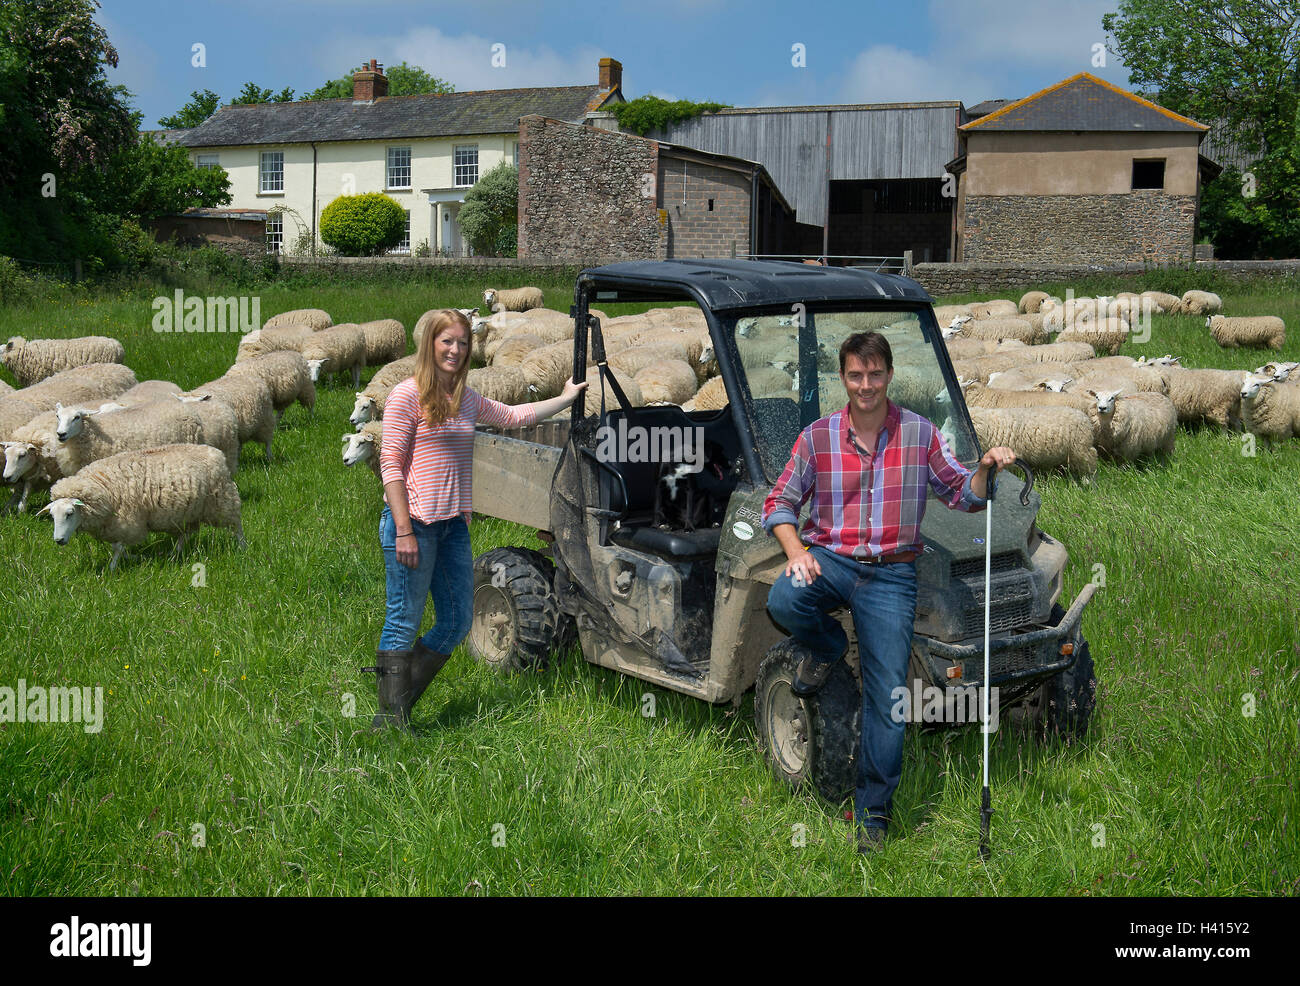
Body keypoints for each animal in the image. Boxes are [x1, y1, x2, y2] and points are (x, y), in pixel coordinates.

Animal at [40, 444, 244, 574]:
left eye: (70, 513)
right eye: (52, 516)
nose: (58, 540)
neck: (103, 487)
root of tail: (215, 452)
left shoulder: (128, 521)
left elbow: (117, 547)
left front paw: (112, 568)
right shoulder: (116, 525)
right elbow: (119, 547)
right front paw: (134, 558)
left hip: (222, 500)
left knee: (236, 526)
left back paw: (243, 547)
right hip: (188, 512)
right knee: (184, 534)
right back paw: (174, 553)